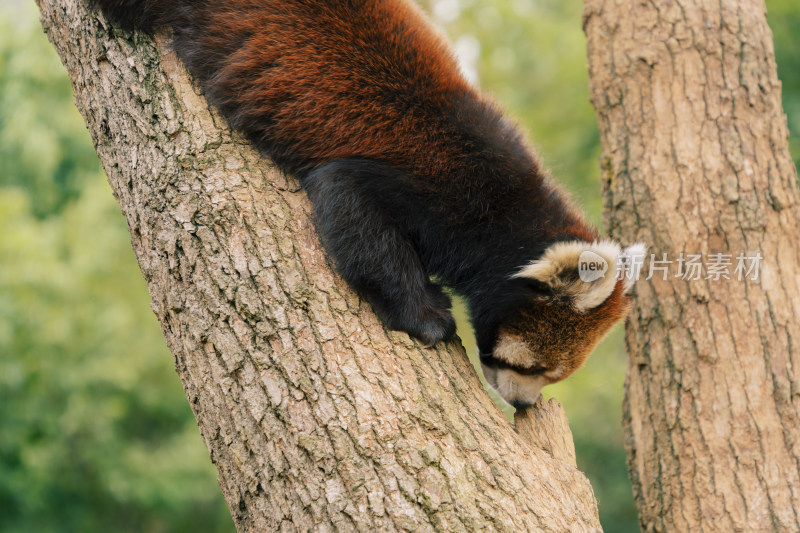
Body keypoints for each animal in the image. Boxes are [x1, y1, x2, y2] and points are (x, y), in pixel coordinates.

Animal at [92, 0, 644, 408]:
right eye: (537, 368)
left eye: (549, 376)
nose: (524, 404)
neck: (505, 212)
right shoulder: (436, 192)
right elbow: (353, 210)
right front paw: (428, 316)